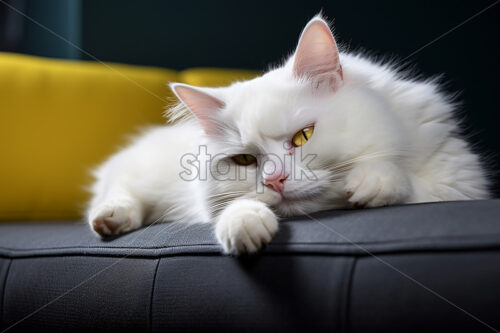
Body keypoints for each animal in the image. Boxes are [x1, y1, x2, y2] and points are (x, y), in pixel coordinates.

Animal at [87, 14, 488, 254]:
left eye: (303, 137)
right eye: (245, 160)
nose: (275, 180)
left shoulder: (461, 183)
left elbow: (409, 184)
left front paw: (372, 183)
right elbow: (232, 210)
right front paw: (246, 227)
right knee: (118, 194)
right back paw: (110, 220)